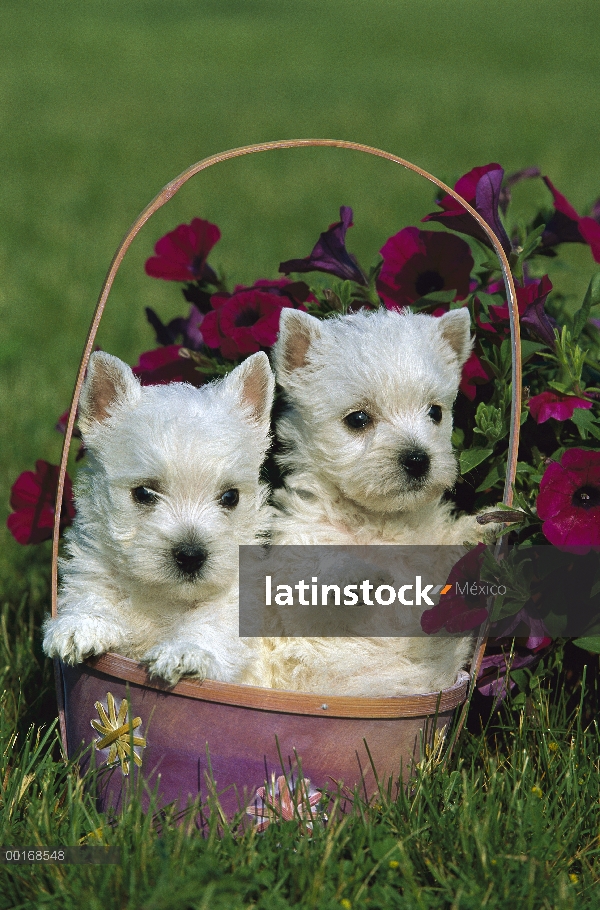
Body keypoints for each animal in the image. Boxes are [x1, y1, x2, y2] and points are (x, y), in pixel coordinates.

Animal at [44, 350, 274, 684]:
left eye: (230, 497)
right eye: (143, 493)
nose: (191, 556)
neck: (163, 597)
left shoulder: (238, 598)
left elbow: (212, 620)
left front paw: (186, 651)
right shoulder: (94, 566)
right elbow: (92, 592)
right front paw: (81, 626)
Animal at [262, 308, 496, 700]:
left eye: (435, 412)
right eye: (358, 419)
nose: (418, 460)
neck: (381, 523)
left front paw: (487, 527)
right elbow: (320, 587)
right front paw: (359, 579)